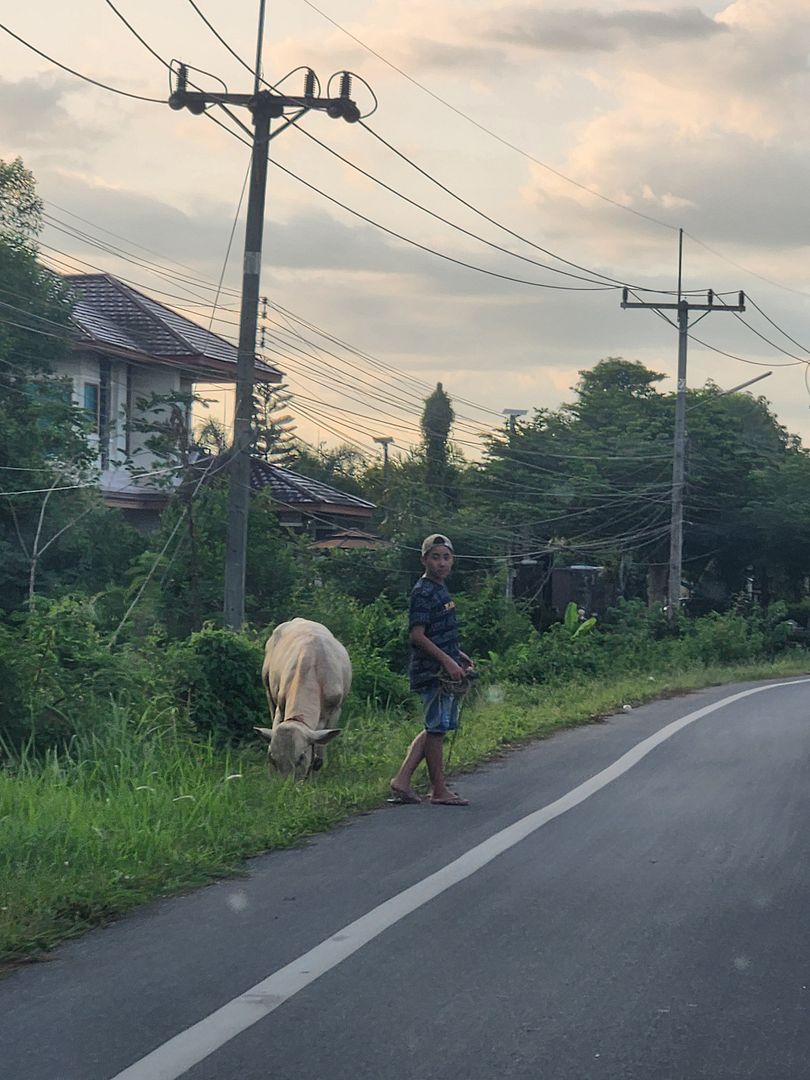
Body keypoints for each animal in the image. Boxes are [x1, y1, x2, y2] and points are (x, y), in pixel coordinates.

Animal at [257, 622, 352, 781]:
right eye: (272, 758)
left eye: (301, 757)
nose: (286, 784)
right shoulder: (281, 705)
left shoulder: (335, 710)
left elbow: (319, 755)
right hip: (267, 687)